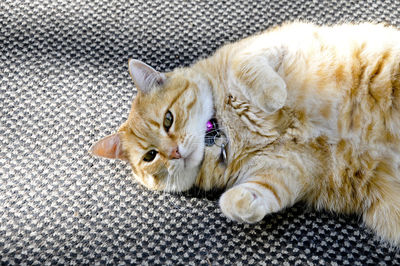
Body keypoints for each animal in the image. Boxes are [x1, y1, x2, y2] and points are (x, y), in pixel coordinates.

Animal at [90, 22, 400, 245]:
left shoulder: (267, 45)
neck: (224, 129)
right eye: (151, 156)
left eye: (168, 119)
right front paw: (242, 204)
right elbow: (251, 194)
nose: (174, 152)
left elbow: (246, 68)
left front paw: (274, 96)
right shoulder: (285, 168)